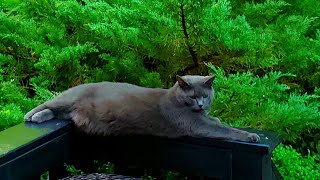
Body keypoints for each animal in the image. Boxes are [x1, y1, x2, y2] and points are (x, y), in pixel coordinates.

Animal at [24, 74, 260, 142]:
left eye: (205, 96)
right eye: (193, 97)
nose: (201, 105)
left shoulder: (201, 118)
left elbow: (215, 121)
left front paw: (216, 117)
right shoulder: (194, 123)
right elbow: (222, 129)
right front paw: (250, 136)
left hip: (69, 109)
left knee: (56, 112)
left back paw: (40, 117)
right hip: (67, 98)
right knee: (47, 103)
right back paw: (30, 116)